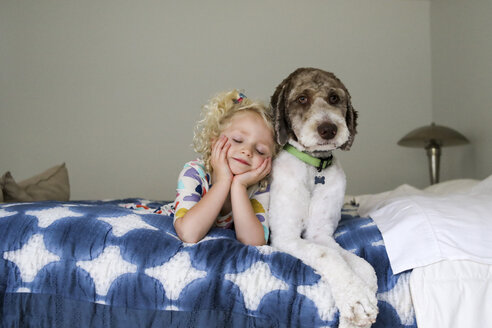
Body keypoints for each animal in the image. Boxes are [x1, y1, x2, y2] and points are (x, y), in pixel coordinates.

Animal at [270, 68, 376, 326]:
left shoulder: (320, 234)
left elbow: (362, 266)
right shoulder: (286, 237)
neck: (313, 168)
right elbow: (329, 256)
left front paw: (362, 299)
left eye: (334, 98)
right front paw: (357, 301)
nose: (328, 129)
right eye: (302, 99)